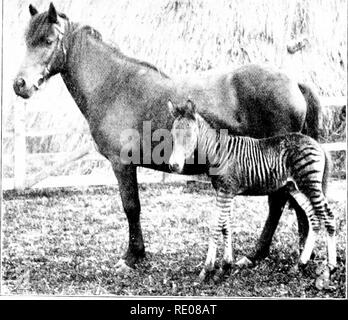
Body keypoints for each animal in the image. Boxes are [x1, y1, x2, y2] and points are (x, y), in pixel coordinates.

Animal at [169, 99, 338, 282]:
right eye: (172, 134)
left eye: (190, 134)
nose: (173, 166)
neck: (217, 153)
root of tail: (317, 144)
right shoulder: (224, 191)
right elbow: (226, 226)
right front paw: (225, 266)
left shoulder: (226, 191)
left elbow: (216, 226)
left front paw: (207, 270)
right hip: (295, 187)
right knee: (314, 217)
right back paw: (301, 264)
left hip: (310, 184)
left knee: (328, 216)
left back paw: (330, 268)